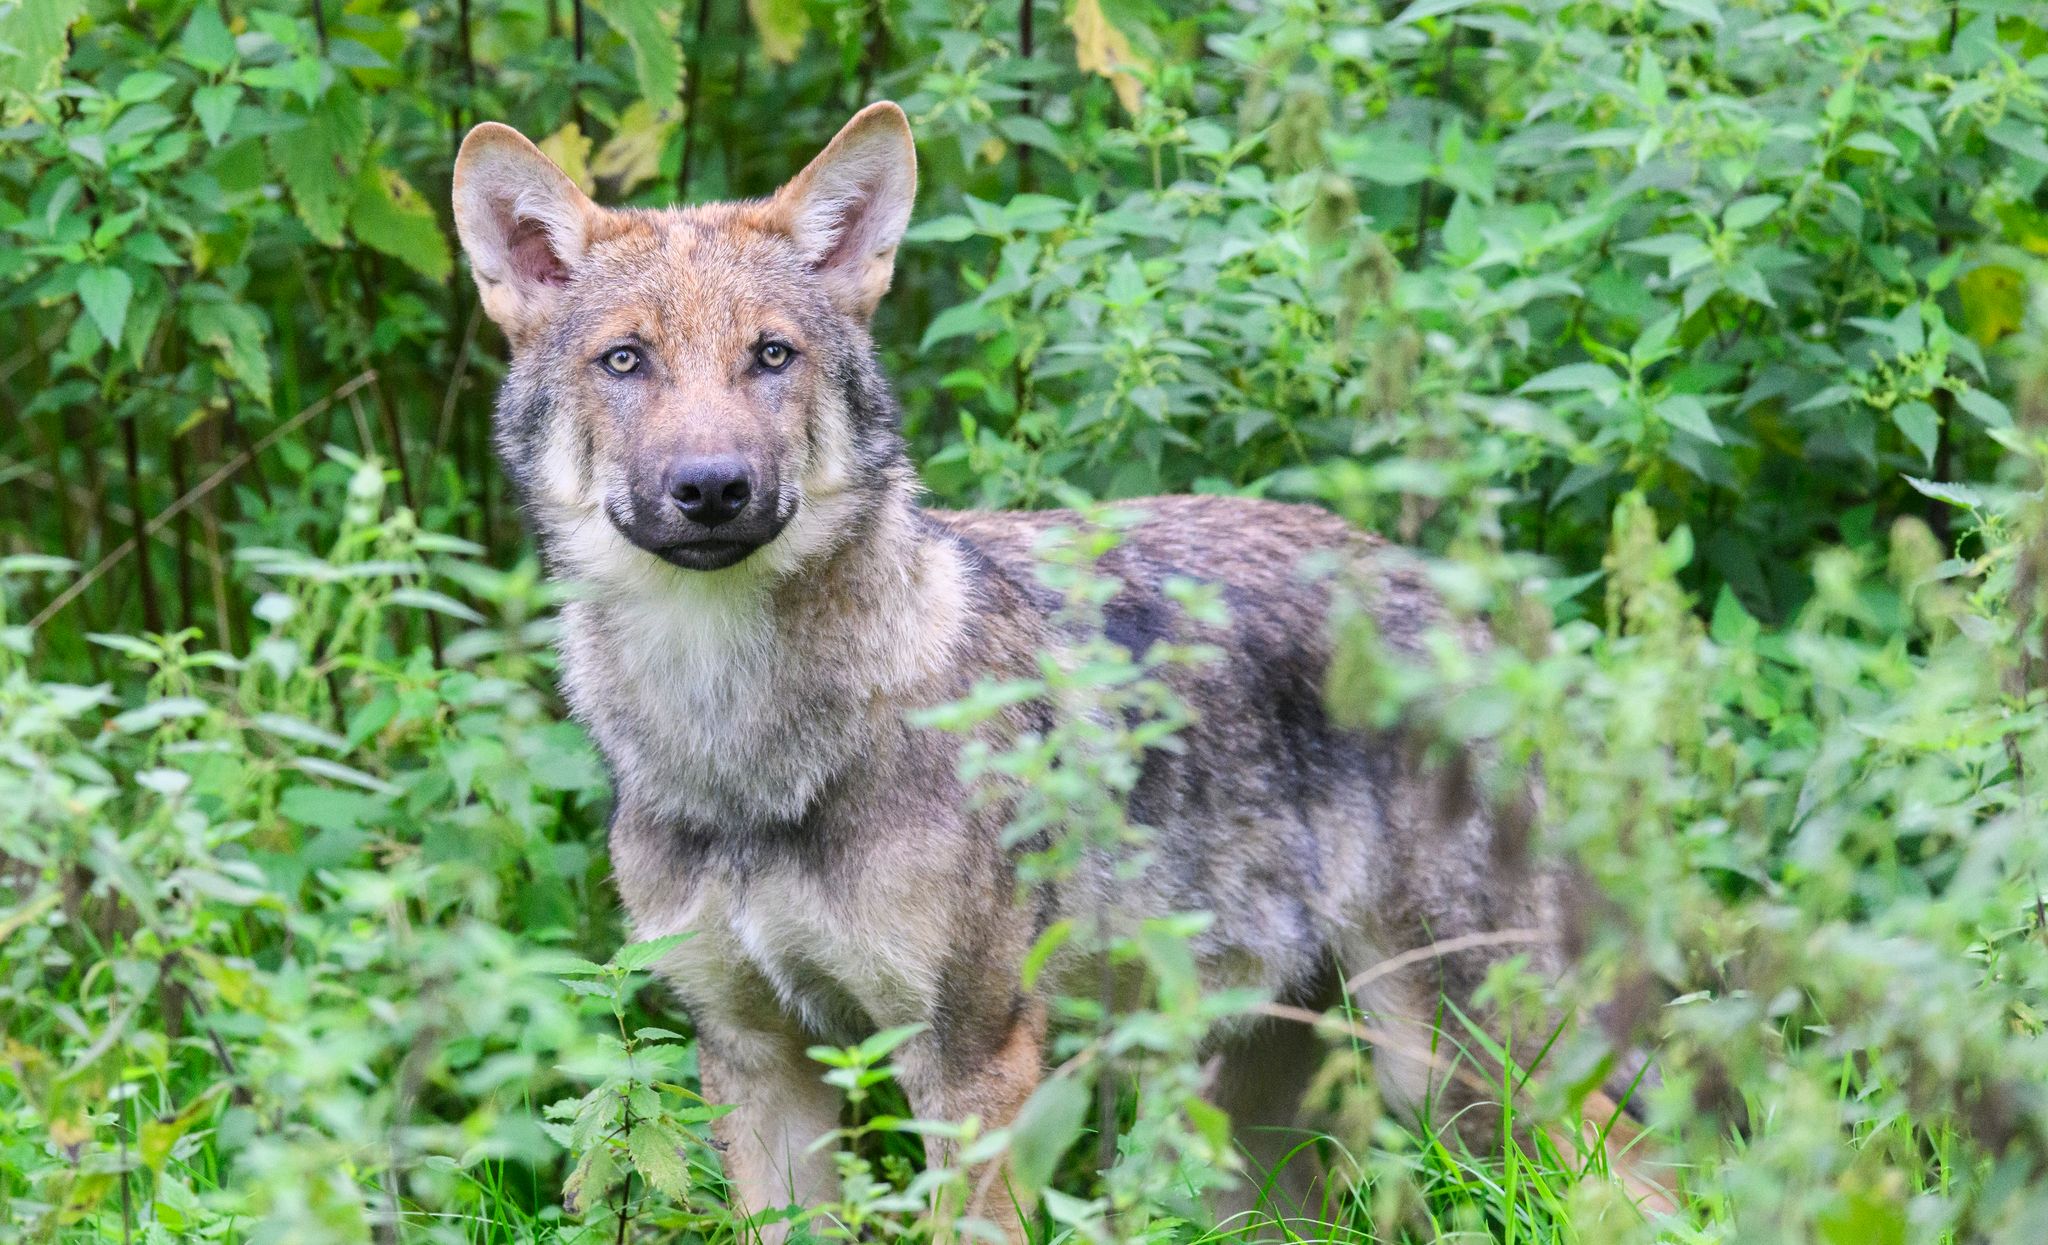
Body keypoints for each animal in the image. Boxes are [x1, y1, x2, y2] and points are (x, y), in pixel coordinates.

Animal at [452, 103, 1583, 1240]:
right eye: (625, 359)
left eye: (770, 354)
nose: (712, 486)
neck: (739, 746)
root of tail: (1453, 601)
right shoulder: (755, 1059)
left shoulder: (969, 1059)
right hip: (1254, 1140)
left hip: (1458, 1073)